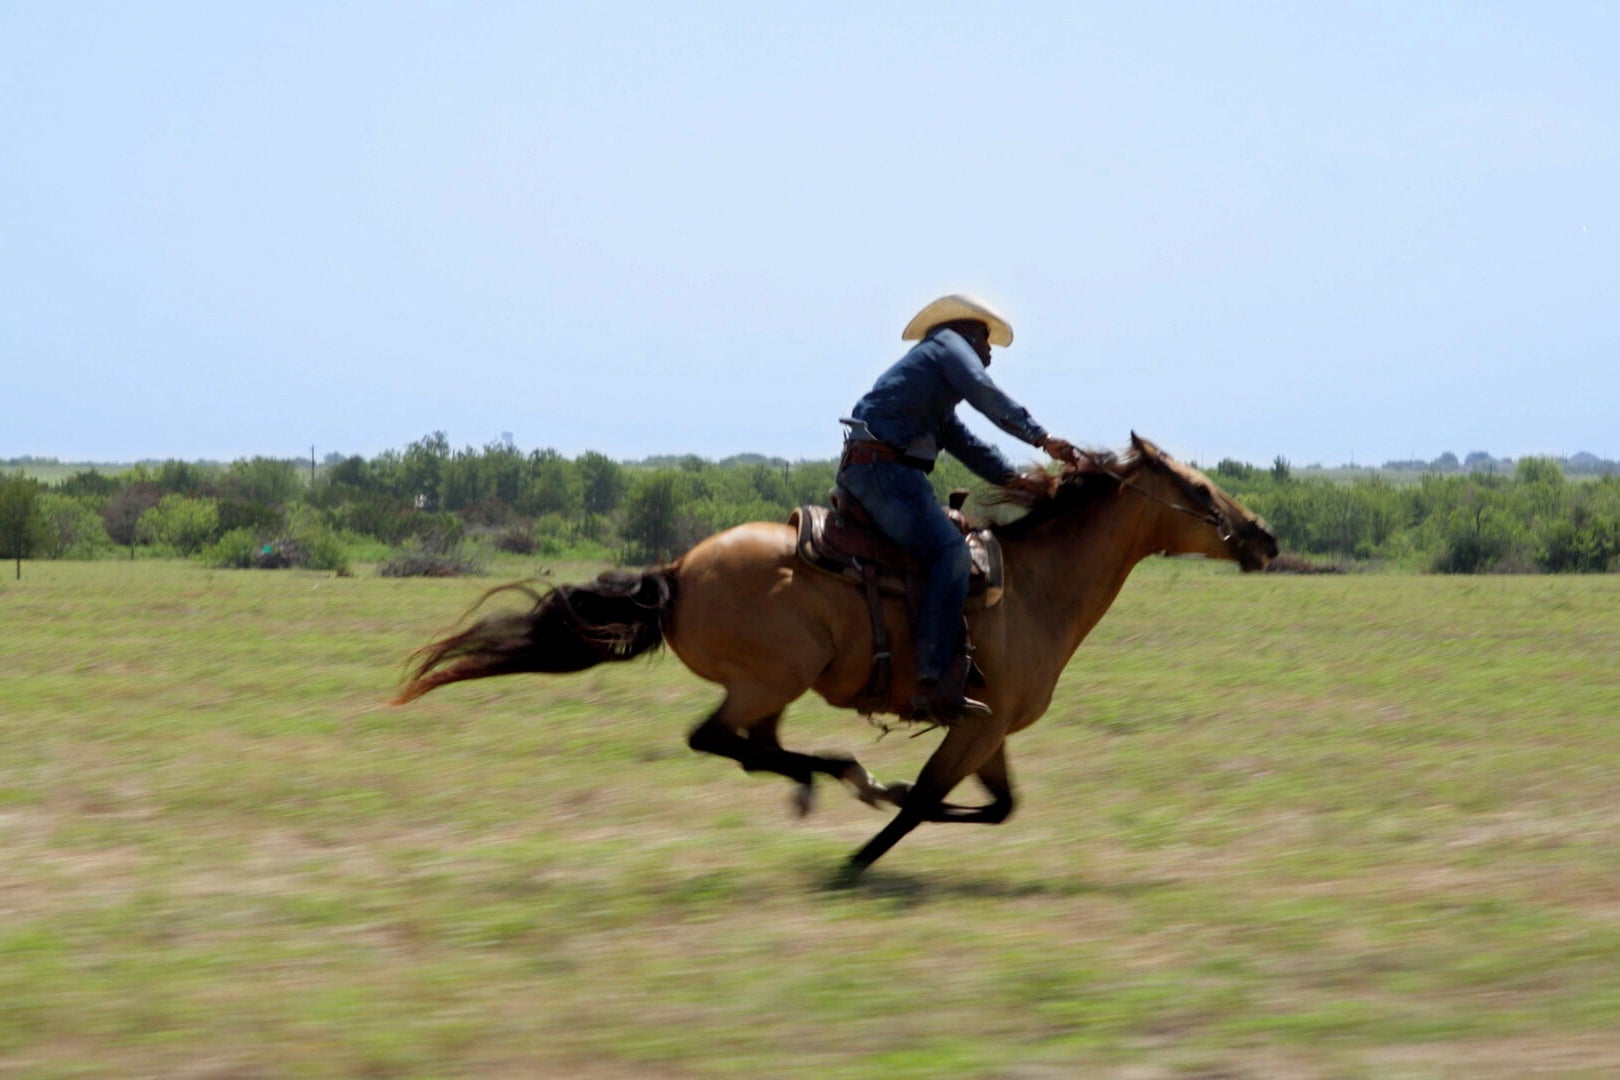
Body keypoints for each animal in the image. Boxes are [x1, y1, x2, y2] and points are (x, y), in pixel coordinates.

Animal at [396, 433, 1278, 876]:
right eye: (1200, 491)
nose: (1264, 536)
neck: (1033, 587)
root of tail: (676, 572)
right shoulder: (978, 723)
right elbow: (927, 803)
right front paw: (862, 851)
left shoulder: (990, 731)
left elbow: (995, 807)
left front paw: (879, 803)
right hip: (769, 679)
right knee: (717, 739)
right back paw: (843, 777)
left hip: (774, 689)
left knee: (756, 747)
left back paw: (827, 780)